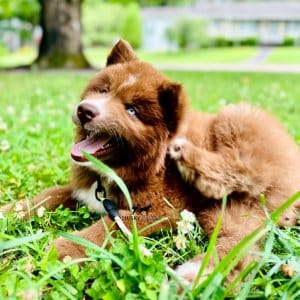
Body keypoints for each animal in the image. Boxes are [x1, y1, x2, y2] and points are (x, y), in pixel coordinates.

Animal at [2, 39, 300, 284]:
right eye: (103, 91)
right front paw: (11, 210)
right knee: (240, 244)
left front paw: (65, 248)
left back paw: (187, 158)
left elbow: (112, 223)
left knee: (243, 169)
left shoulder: (162, 209)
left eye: (132, 111)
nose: (85, 110)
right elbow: (48, 195)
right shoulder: (85, 189)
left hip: (236, 121)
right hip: (234, 210)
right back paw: (198, 276)